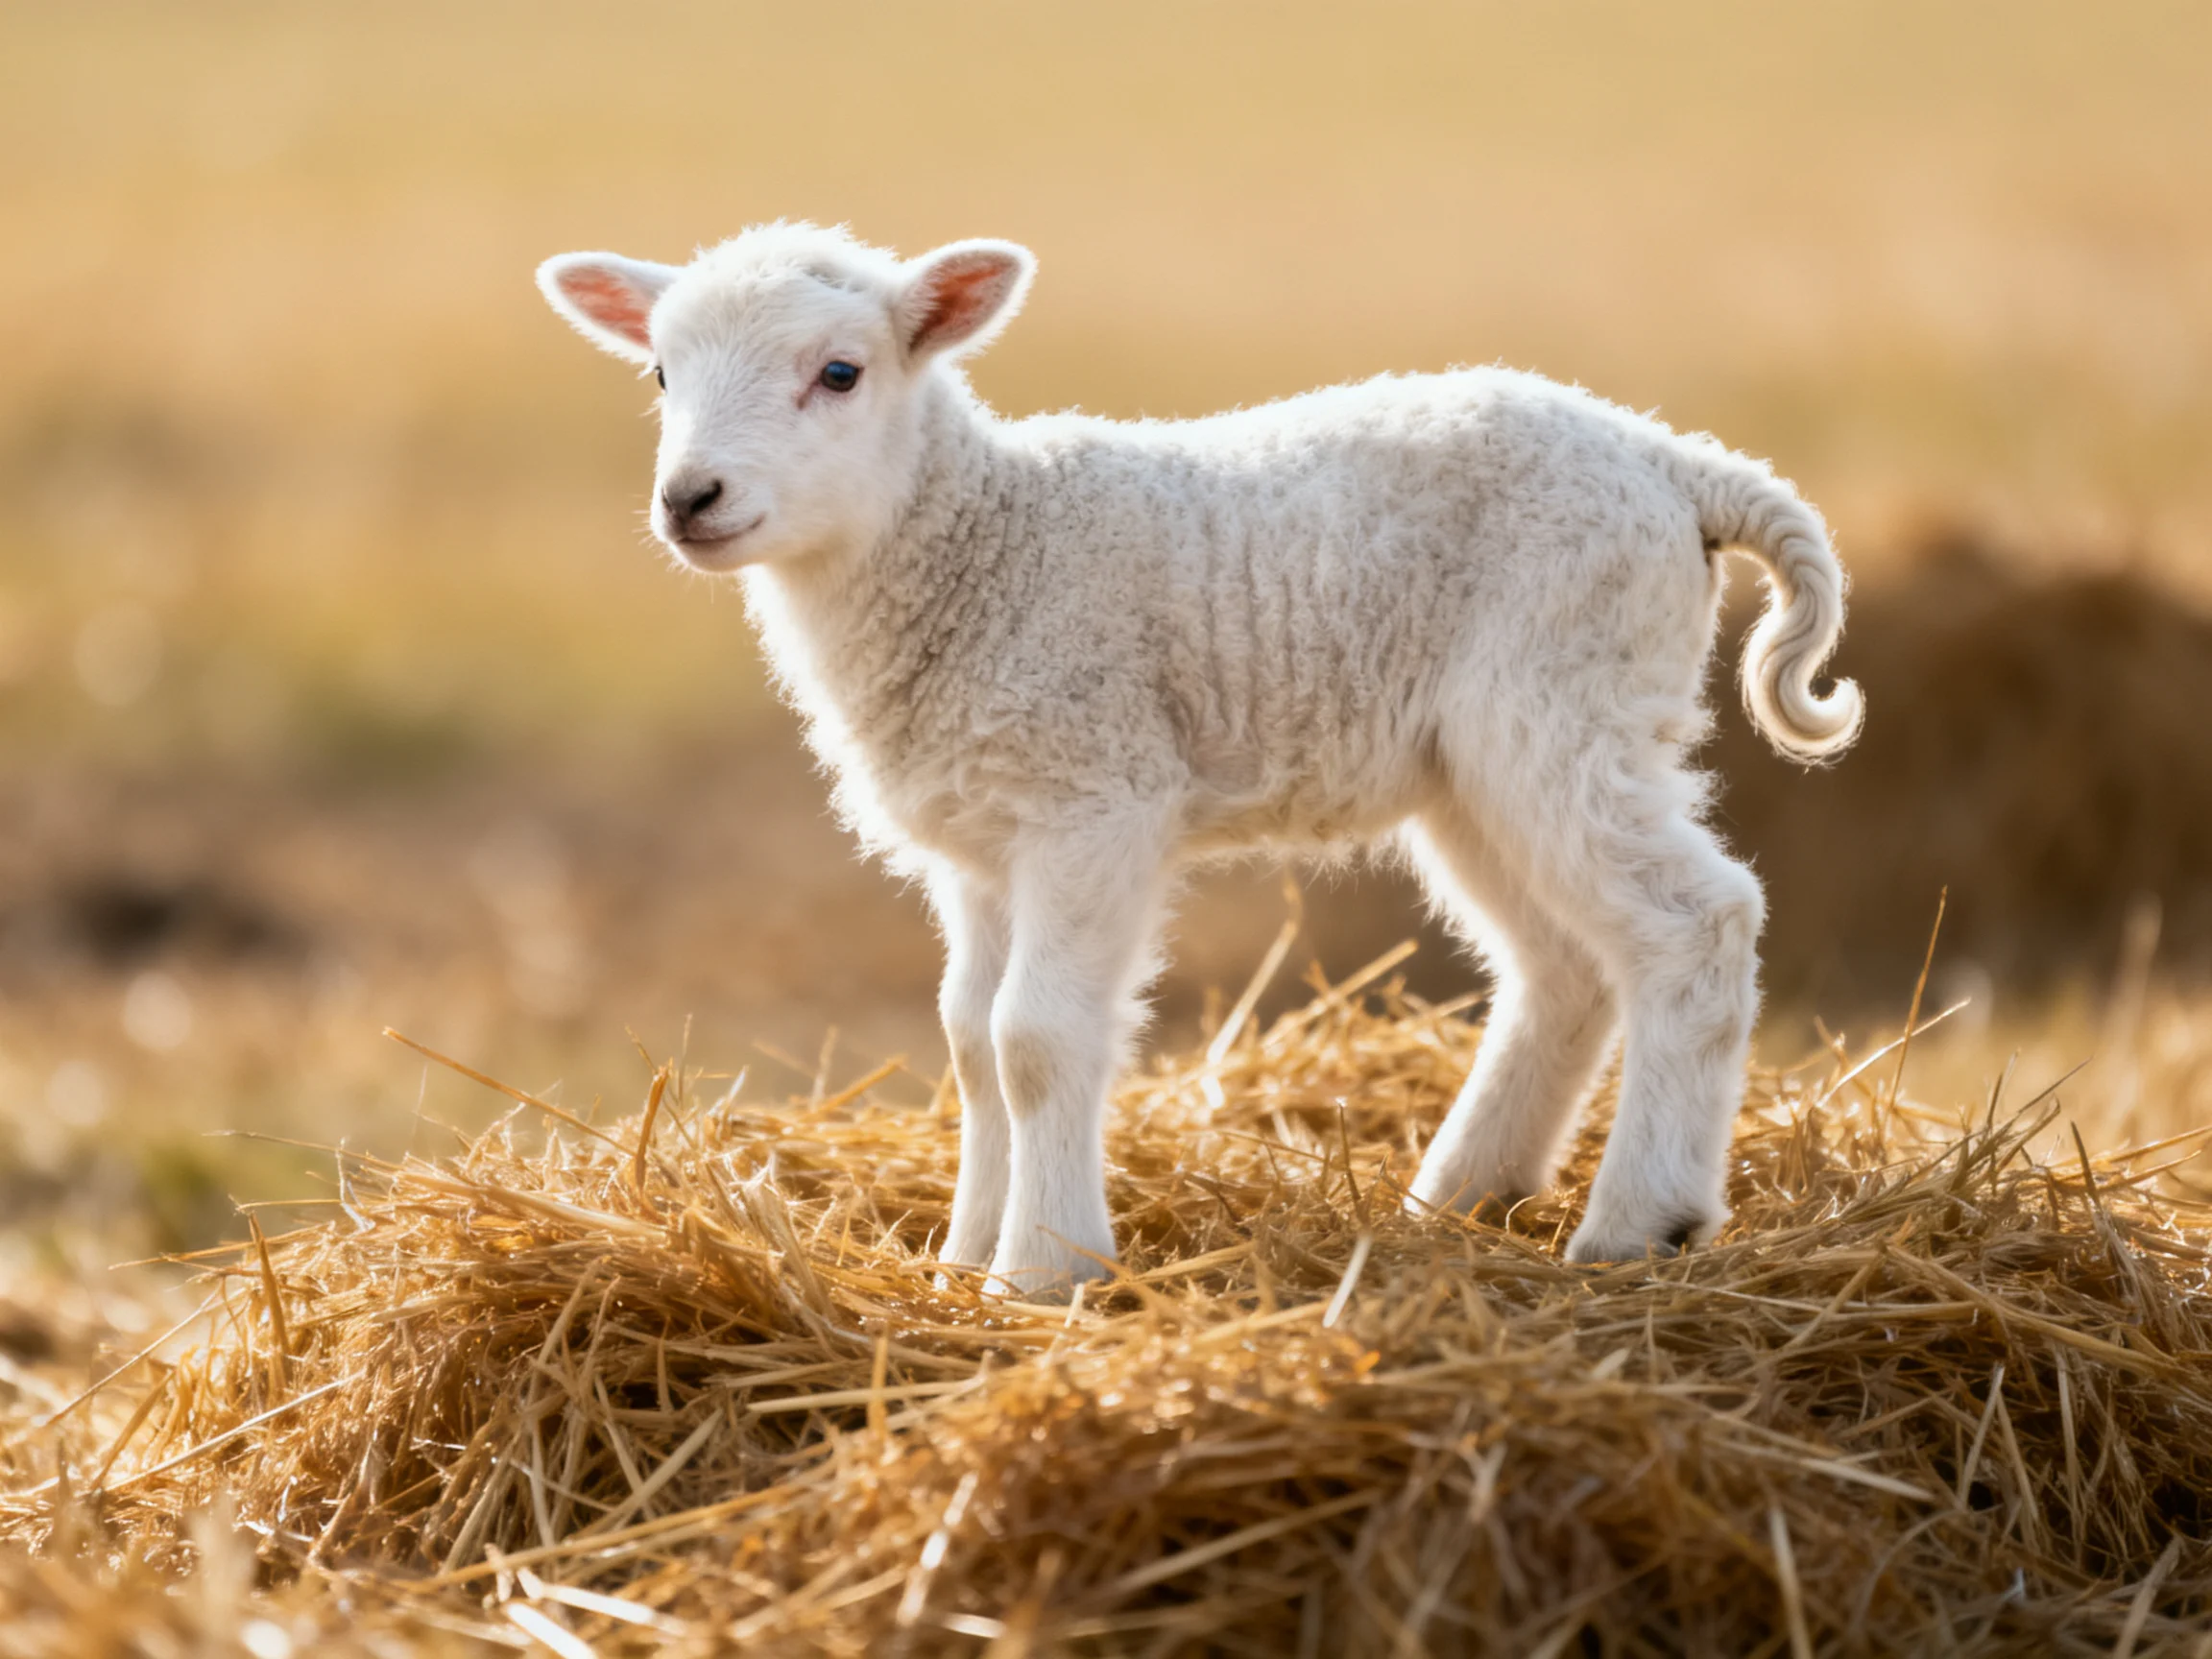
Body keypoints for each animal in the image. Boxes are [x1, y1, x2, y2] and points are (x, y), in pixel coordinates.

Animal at [537, 222, 1862, 1295]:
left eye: (840, 373)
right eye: (660, 373)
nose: (691, 498)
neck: (979, 542)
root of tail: (1677, 463)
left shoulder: (1093, 797)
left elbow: (1033, 1039)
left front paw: (1044, 1270)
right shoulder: (980, 841)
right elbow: (968, 1039)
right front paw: (961, 1259)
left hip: (1565, 696)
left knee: (1696, 923)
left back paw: (1642, 1222)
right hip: (1477, 761)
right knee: (1565, 969)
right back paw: (1462, 1196)